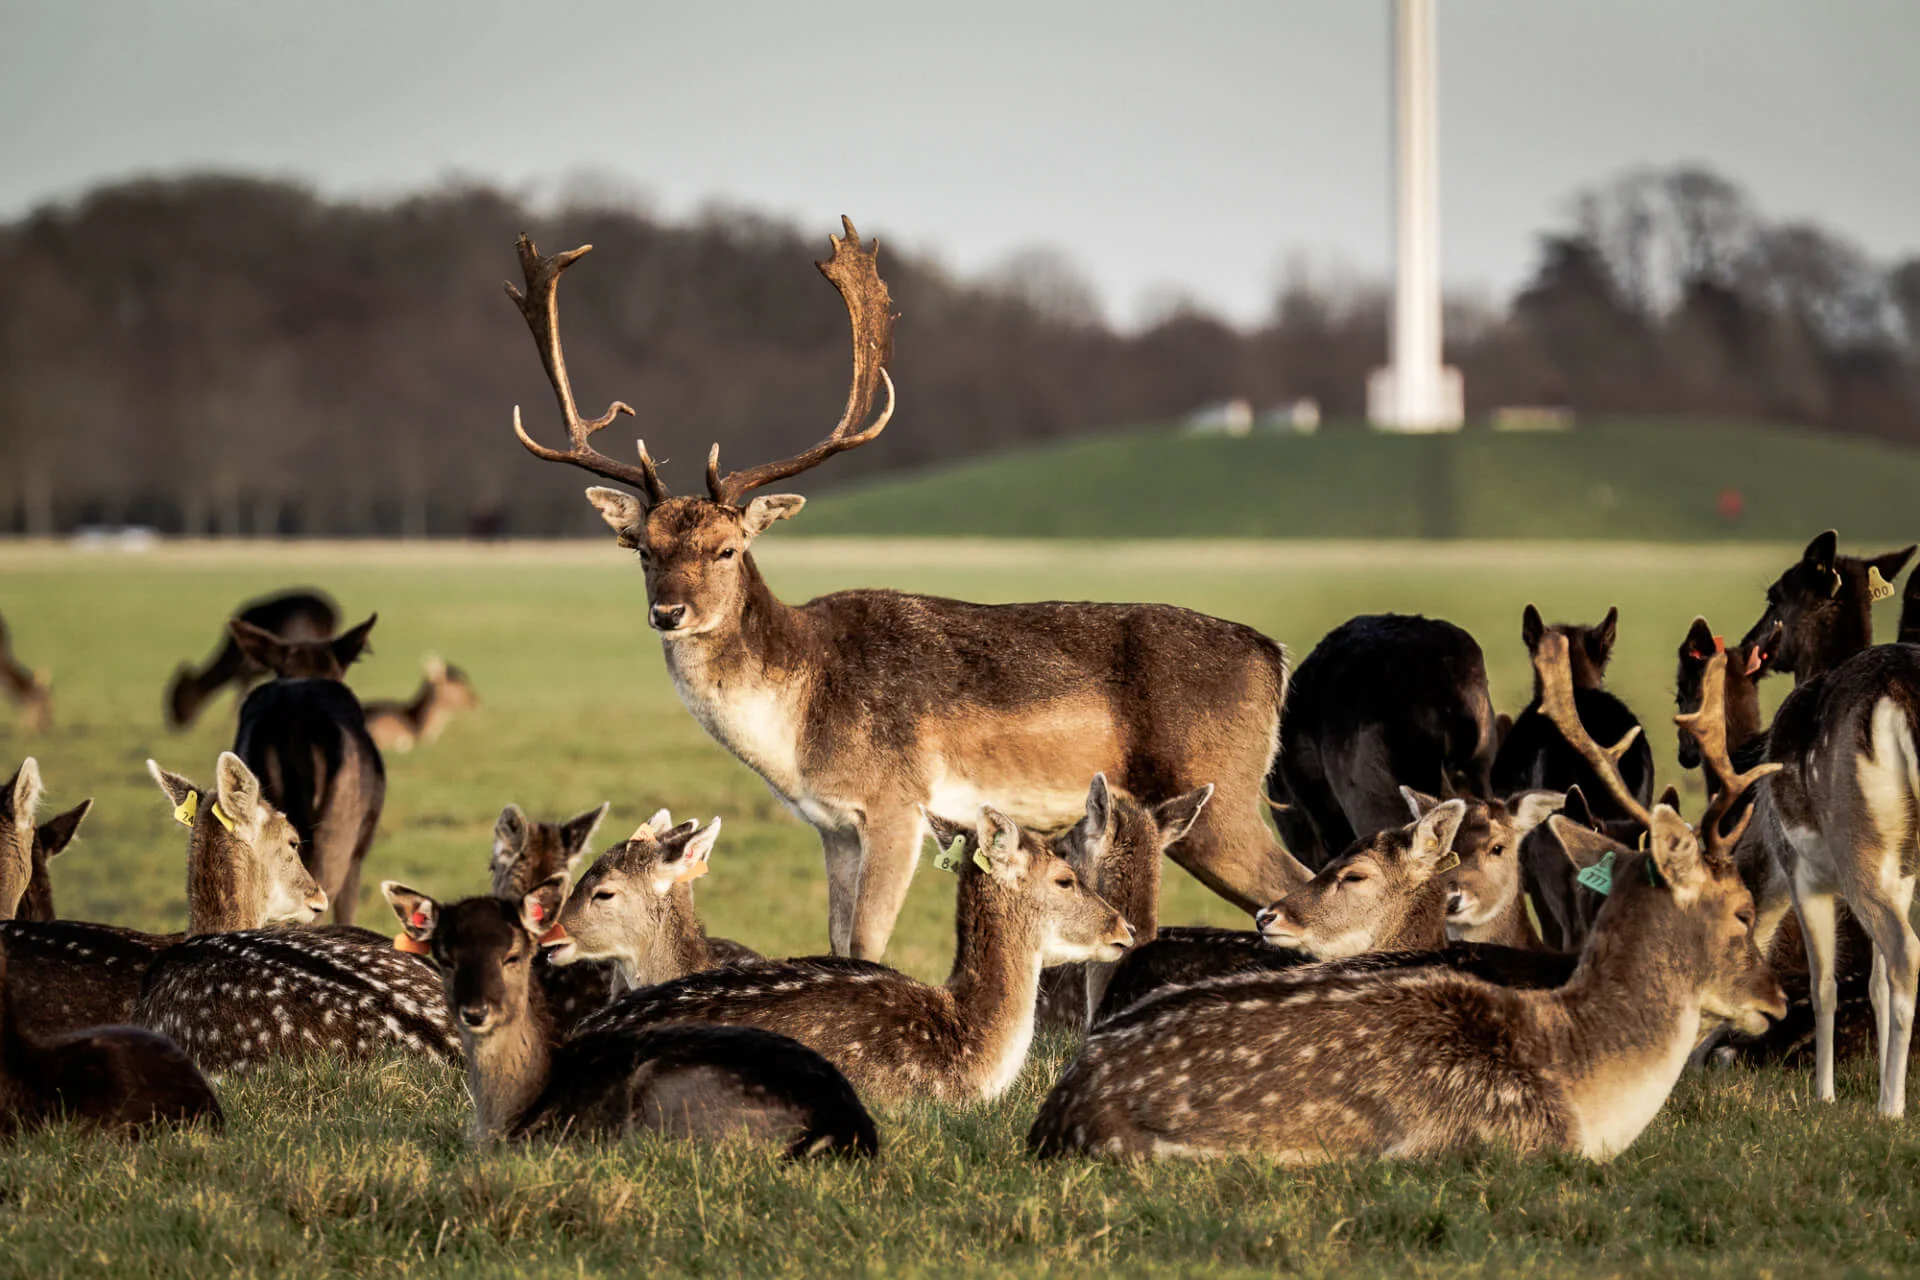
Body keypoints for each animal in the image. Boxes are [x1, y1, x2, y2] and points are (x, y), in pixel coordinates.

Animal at [502, 220, 1302, 960]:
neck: (799, 720)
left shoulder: (897, 801)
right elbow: (835, 939)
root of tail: (1275, 655)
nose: (669, 612)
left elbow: (865, 942)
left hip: (1221, 793)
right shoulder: (831, 826)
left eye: (728, 549)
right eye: (642, 549)